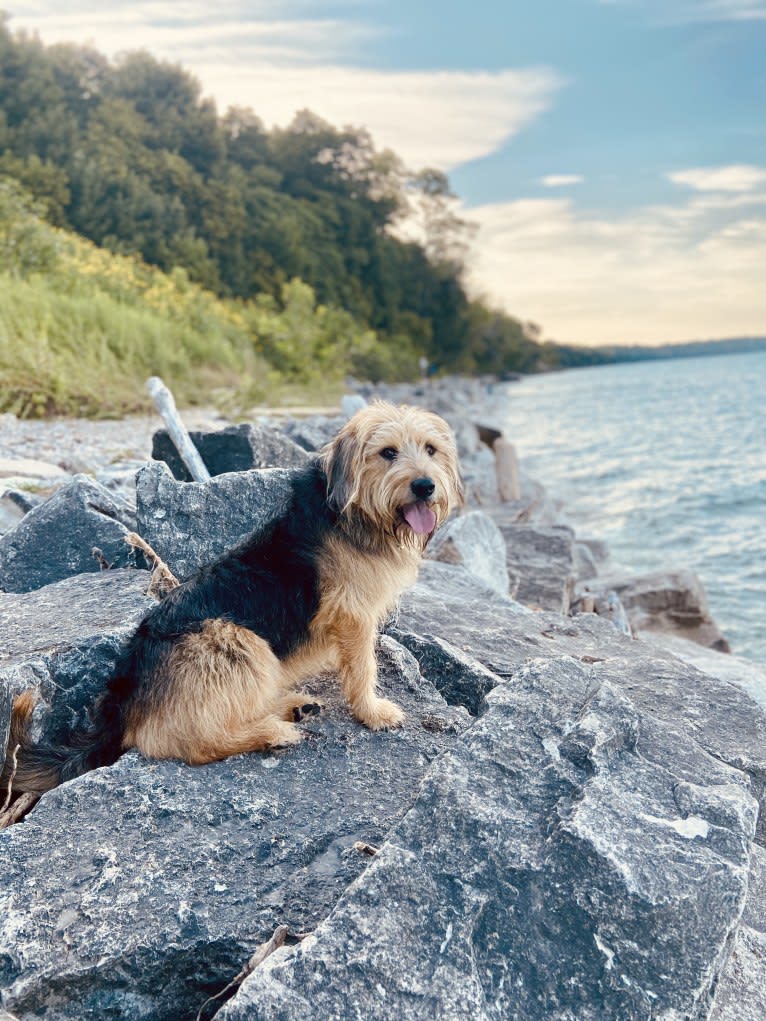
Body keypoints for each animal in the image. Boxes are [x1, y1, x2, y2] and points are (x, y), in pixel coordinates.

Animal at [1, 400, 461, 796]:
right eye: (387, 452)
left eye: (431, 449)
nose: (425, 486)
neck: (355, 511)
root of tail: (126, 697)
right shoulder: (353, 615)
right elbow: (363, 668)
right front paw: (373, 711)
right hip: (238, 641)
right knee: (191, 740)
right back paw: (273, 731)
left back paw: (292, 706)